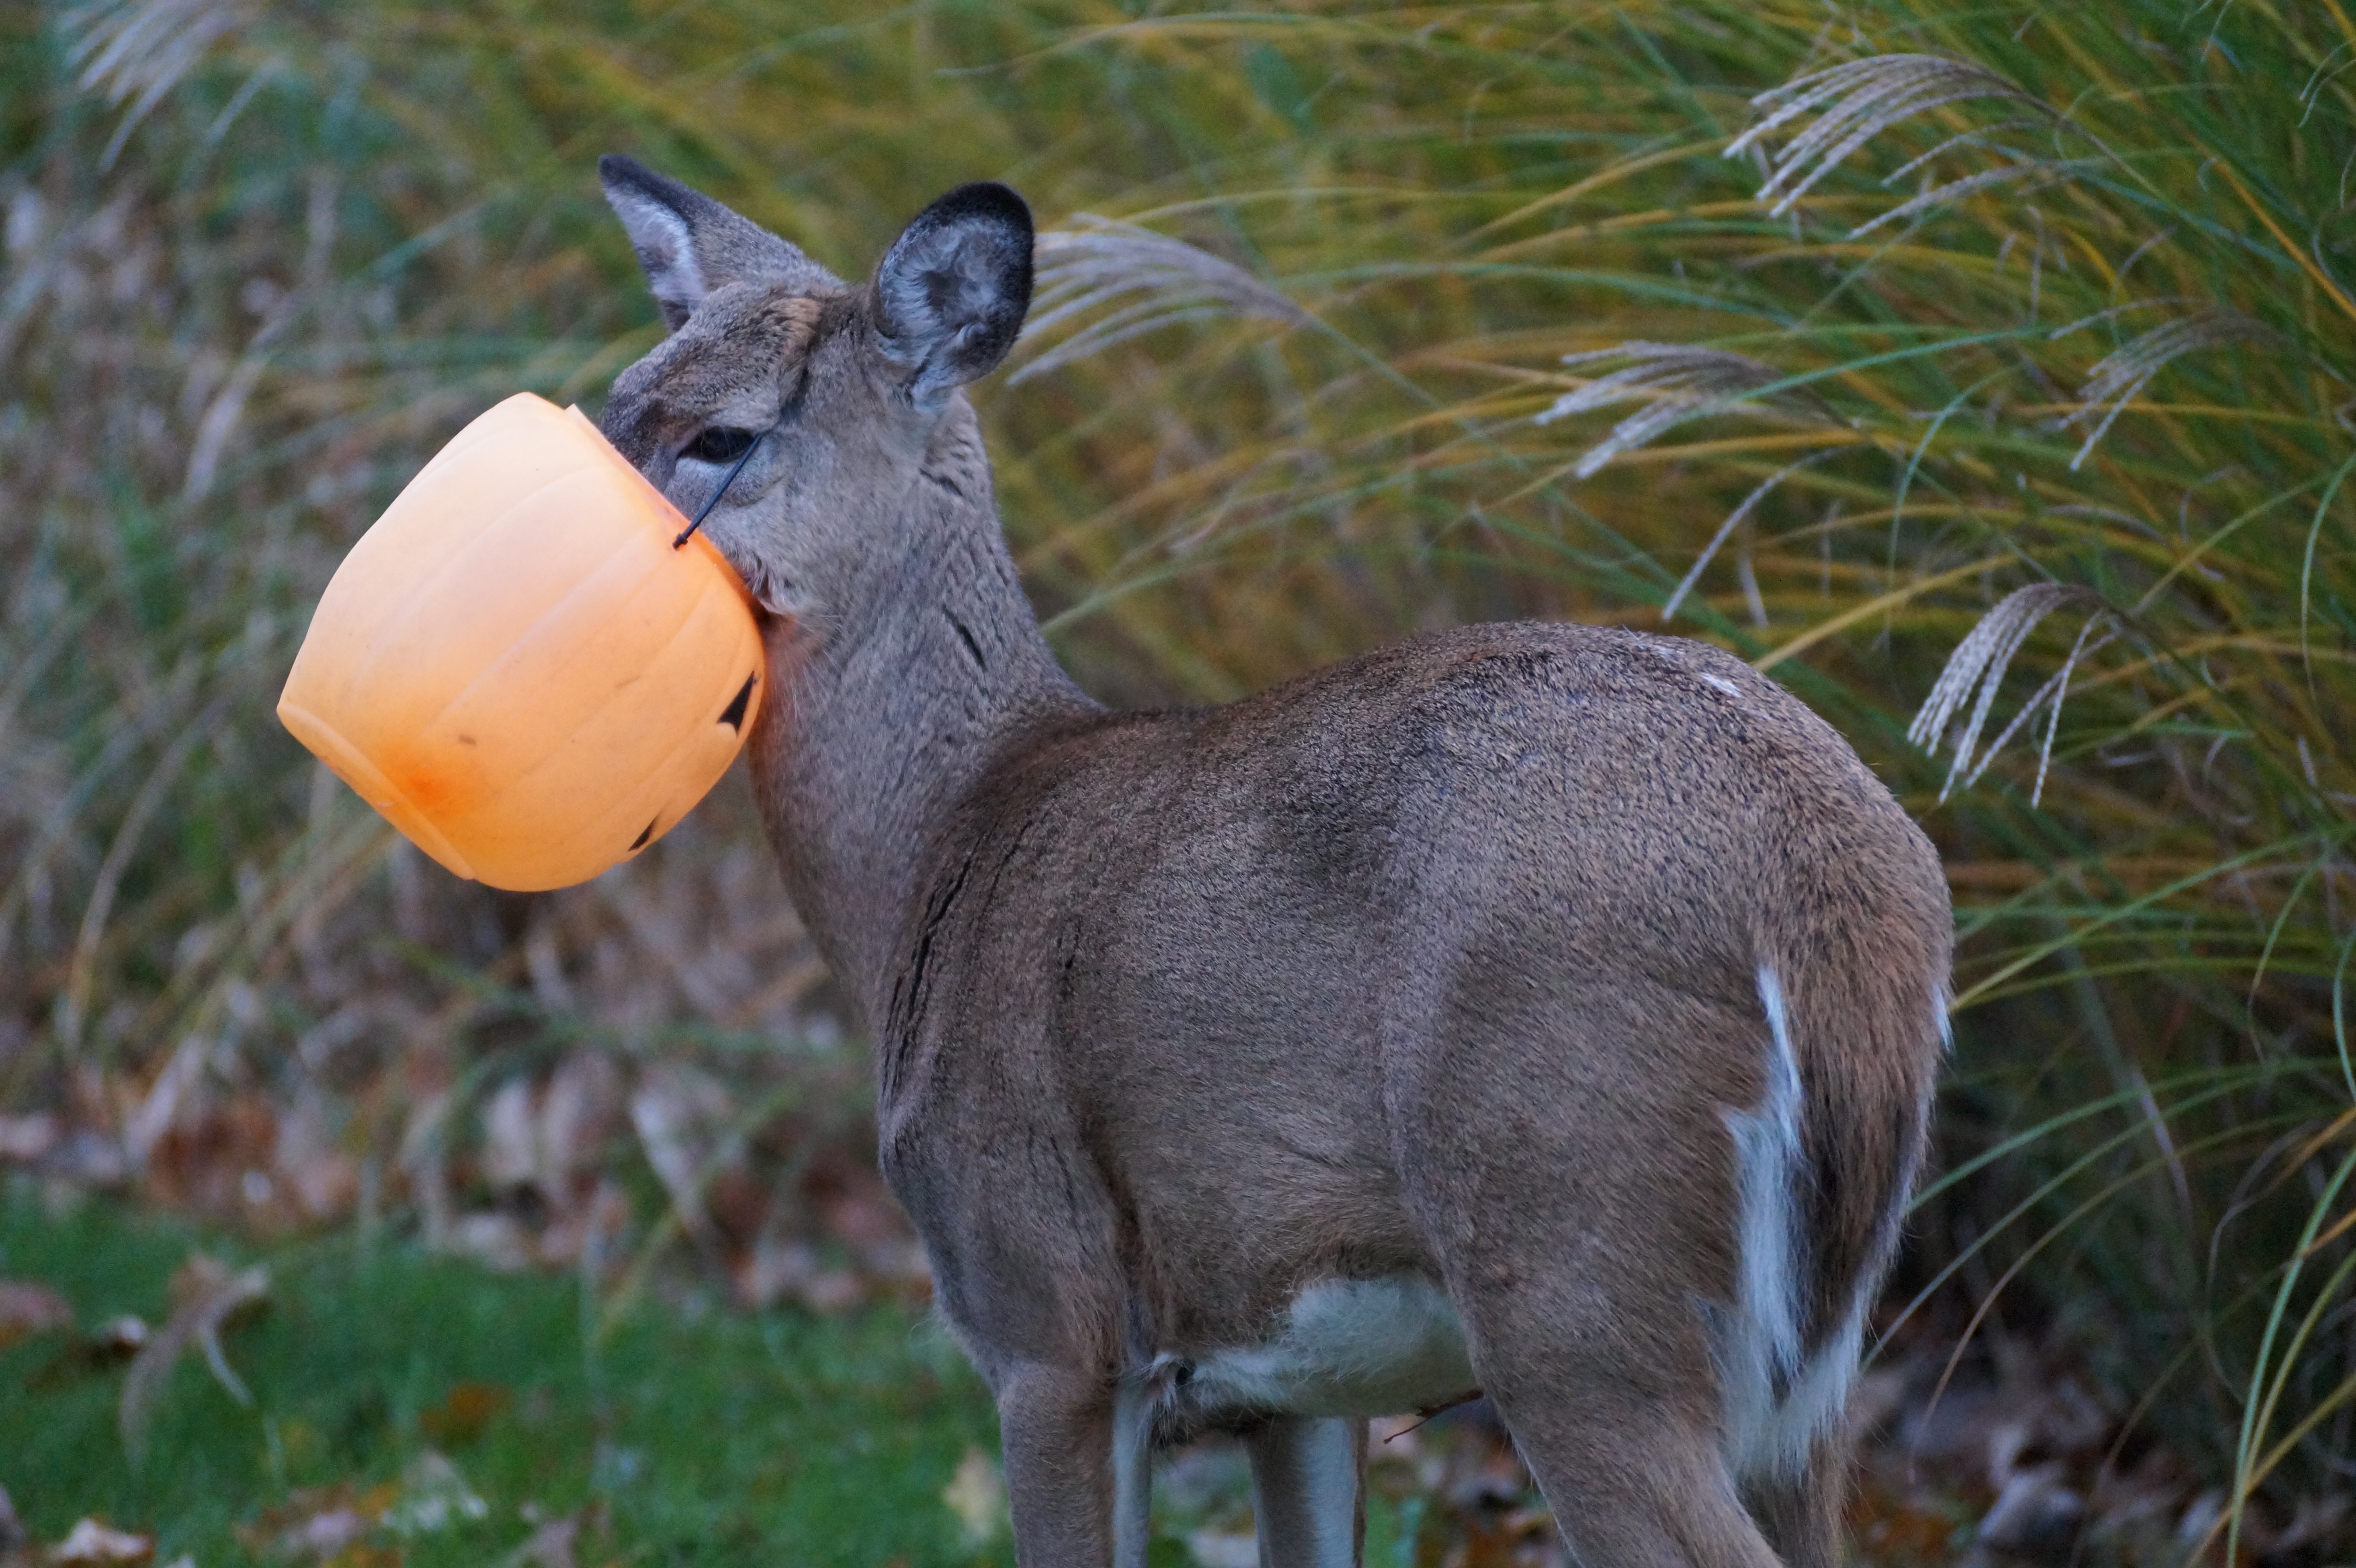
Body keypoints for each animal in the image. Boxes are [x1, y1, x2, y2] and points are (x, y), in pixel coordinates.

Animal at [593, 155, 1951, 1563]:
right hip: (1803, 1378)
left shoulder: (1043, 1308)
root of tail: (1840, 913)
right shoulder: (1288, 1384)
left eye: (723, 437)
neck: (940, 852)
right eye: (619, 399)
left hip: (1576, 1273)